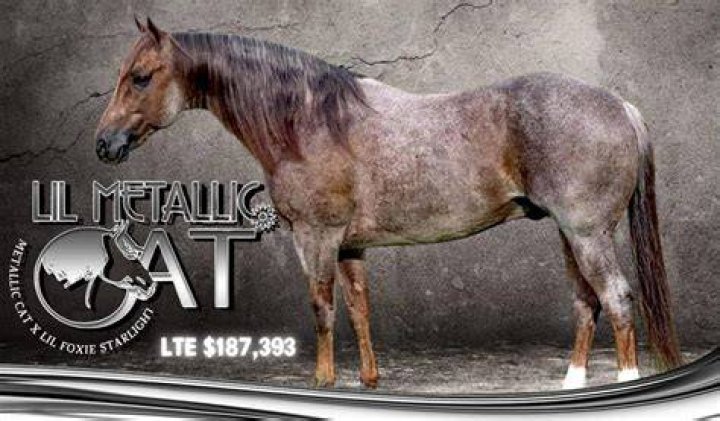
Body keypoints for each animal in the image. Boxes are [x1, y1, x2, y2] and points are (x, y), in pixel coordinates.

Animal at [95, 17, 682, 390]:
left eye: (141, 78)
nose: (105, 144)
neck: (308, 122)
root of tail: (620, 106)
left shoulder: (317, 237)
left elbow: (323, 308)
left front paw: (324, 382)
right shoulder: (351, 246)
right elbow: (359, 309)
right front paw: (369, 380)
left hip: (587, 235)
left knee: (617, 299)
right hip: (569, 233)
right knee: (587, 303)